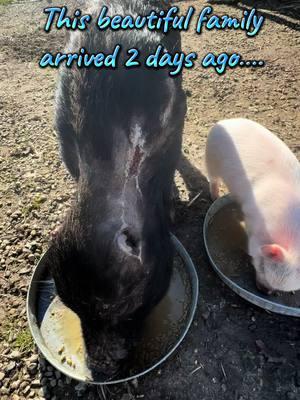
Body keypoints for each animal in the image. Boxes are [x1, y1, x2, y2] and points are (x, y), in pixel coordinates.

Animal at [206, 119, 300, 294]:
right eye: (262, 266)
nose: (264, 291)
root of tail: (225, 122)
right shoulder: (252, 217)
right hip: (211, 158)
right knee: (213, 179)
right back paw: (214, 196)